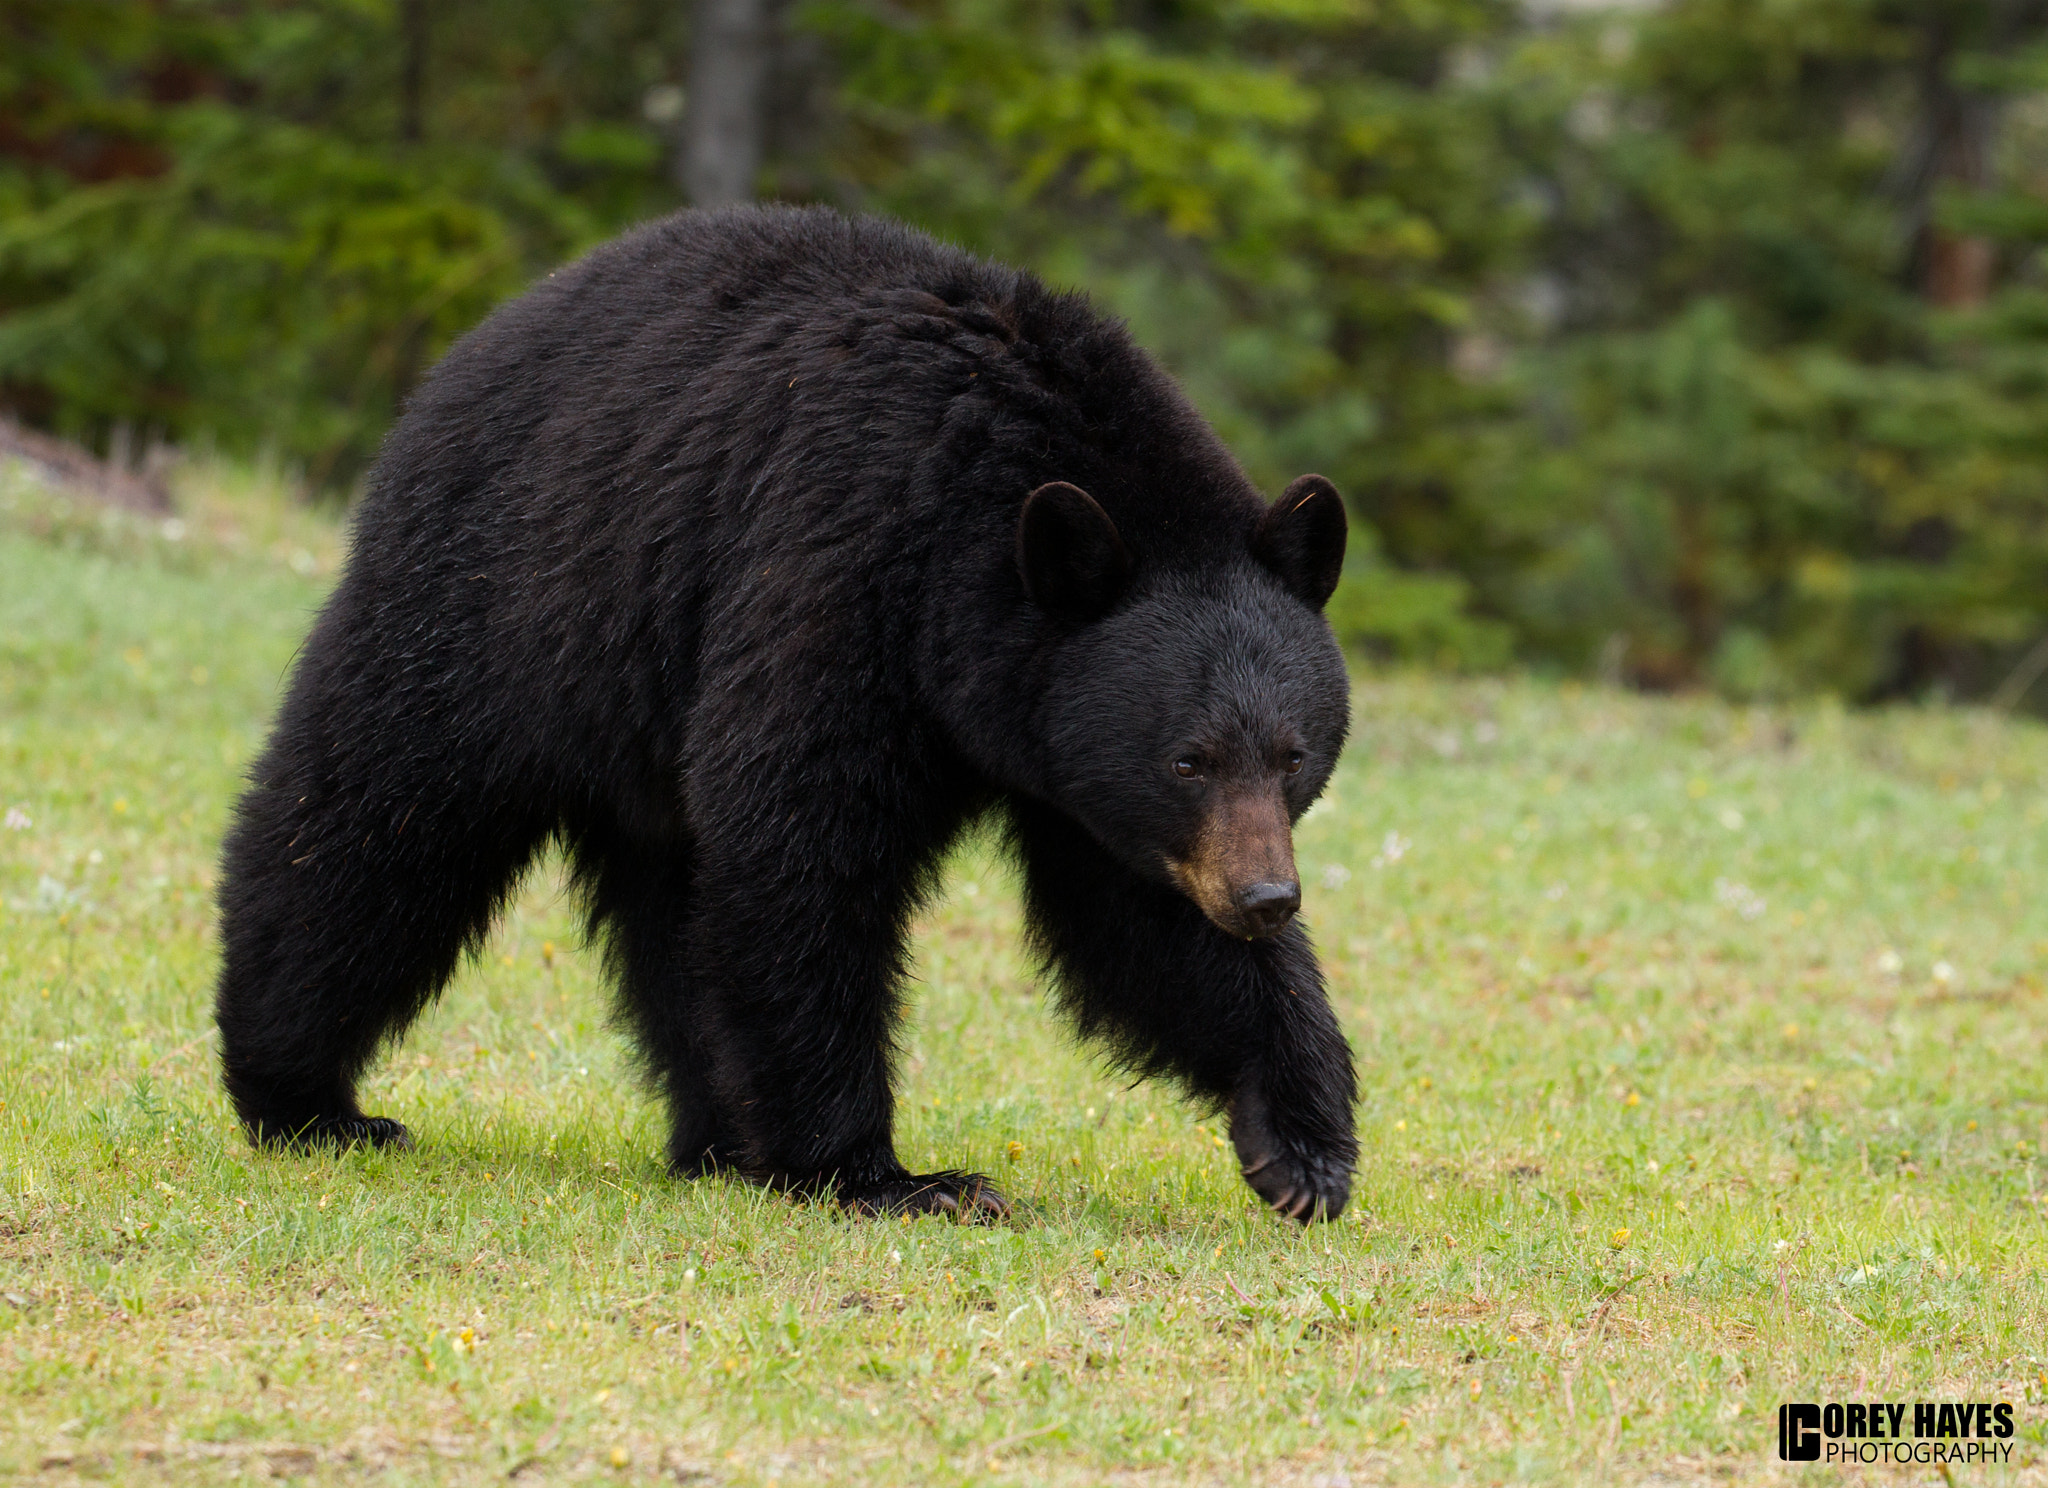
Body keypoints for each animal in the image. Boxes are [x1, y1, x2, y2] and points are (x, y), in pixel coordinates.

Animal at [216, 206, 1359, 1219]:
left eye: (1292, 754)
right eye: (1187, 758)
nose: (1266, 897)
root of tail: (475, 342)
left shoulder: (1067, 745)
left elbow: (1136, 919)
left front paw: (1302, 1144)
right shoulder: (841, 576)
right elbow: (802, 848)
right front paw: (888, 1178)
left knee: (671, 915)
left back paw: (719, 1141)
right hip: (500, 601)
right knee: (375, 824)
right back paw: (304, 1096)